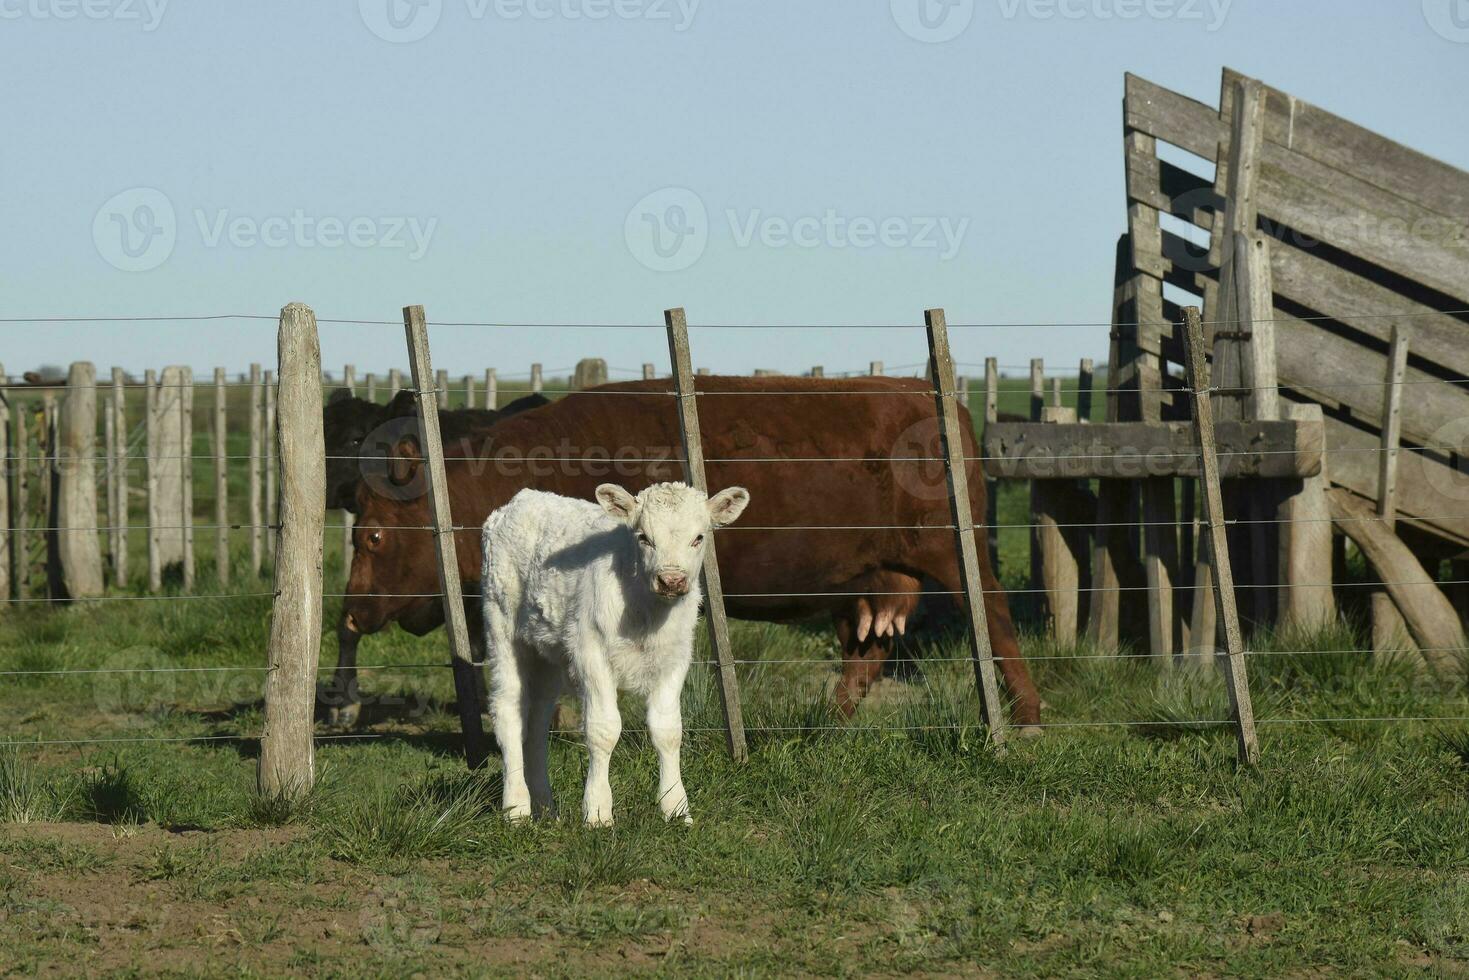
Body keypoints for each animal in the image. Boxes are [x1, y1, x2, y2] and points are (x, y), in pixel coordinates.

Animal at [340, 376, 1045, 728]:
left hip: (956, 555)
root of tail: (935, 398)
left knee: (997, 621)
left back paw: (1026, 714)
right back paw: (823, 726)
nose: (350, 611)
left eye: (372, 534)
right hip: (870, 584)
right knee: (866, 655)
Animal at [481, 481, 752, 828]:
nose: (672, 580)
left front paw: (676, 809)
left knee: (538, 722)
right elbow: (604, 729)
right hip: (502, 627)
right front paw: (598, 812)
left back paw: (546, 808)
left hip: (548, 654)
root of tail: (523, 498)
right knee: (509, 711)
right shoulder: (590, 652)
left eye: (698, 537)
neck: (646, 612)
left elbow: (668, 730)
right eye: (644, 537)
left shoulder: (675, 658)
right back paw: (516, 809)